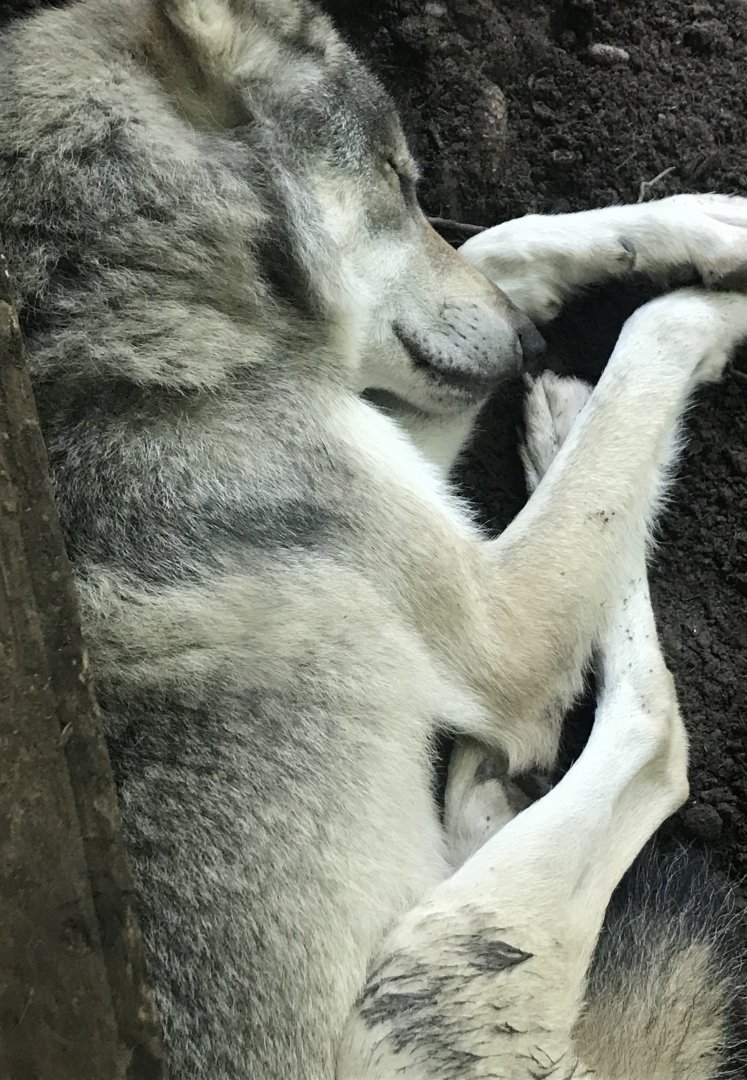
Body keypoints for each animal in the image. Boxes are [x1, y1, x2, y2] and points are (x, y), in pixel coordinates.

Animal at [0, 0, 745, 1076]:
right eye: (397, 179)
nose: (529, 346)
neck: (106, 279)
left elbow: (502, 241)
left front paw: (695, 227)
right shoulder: (499, 619)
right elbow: (646, 347)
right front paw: (704, 303)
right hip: (417, 979)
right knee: (654, 737)